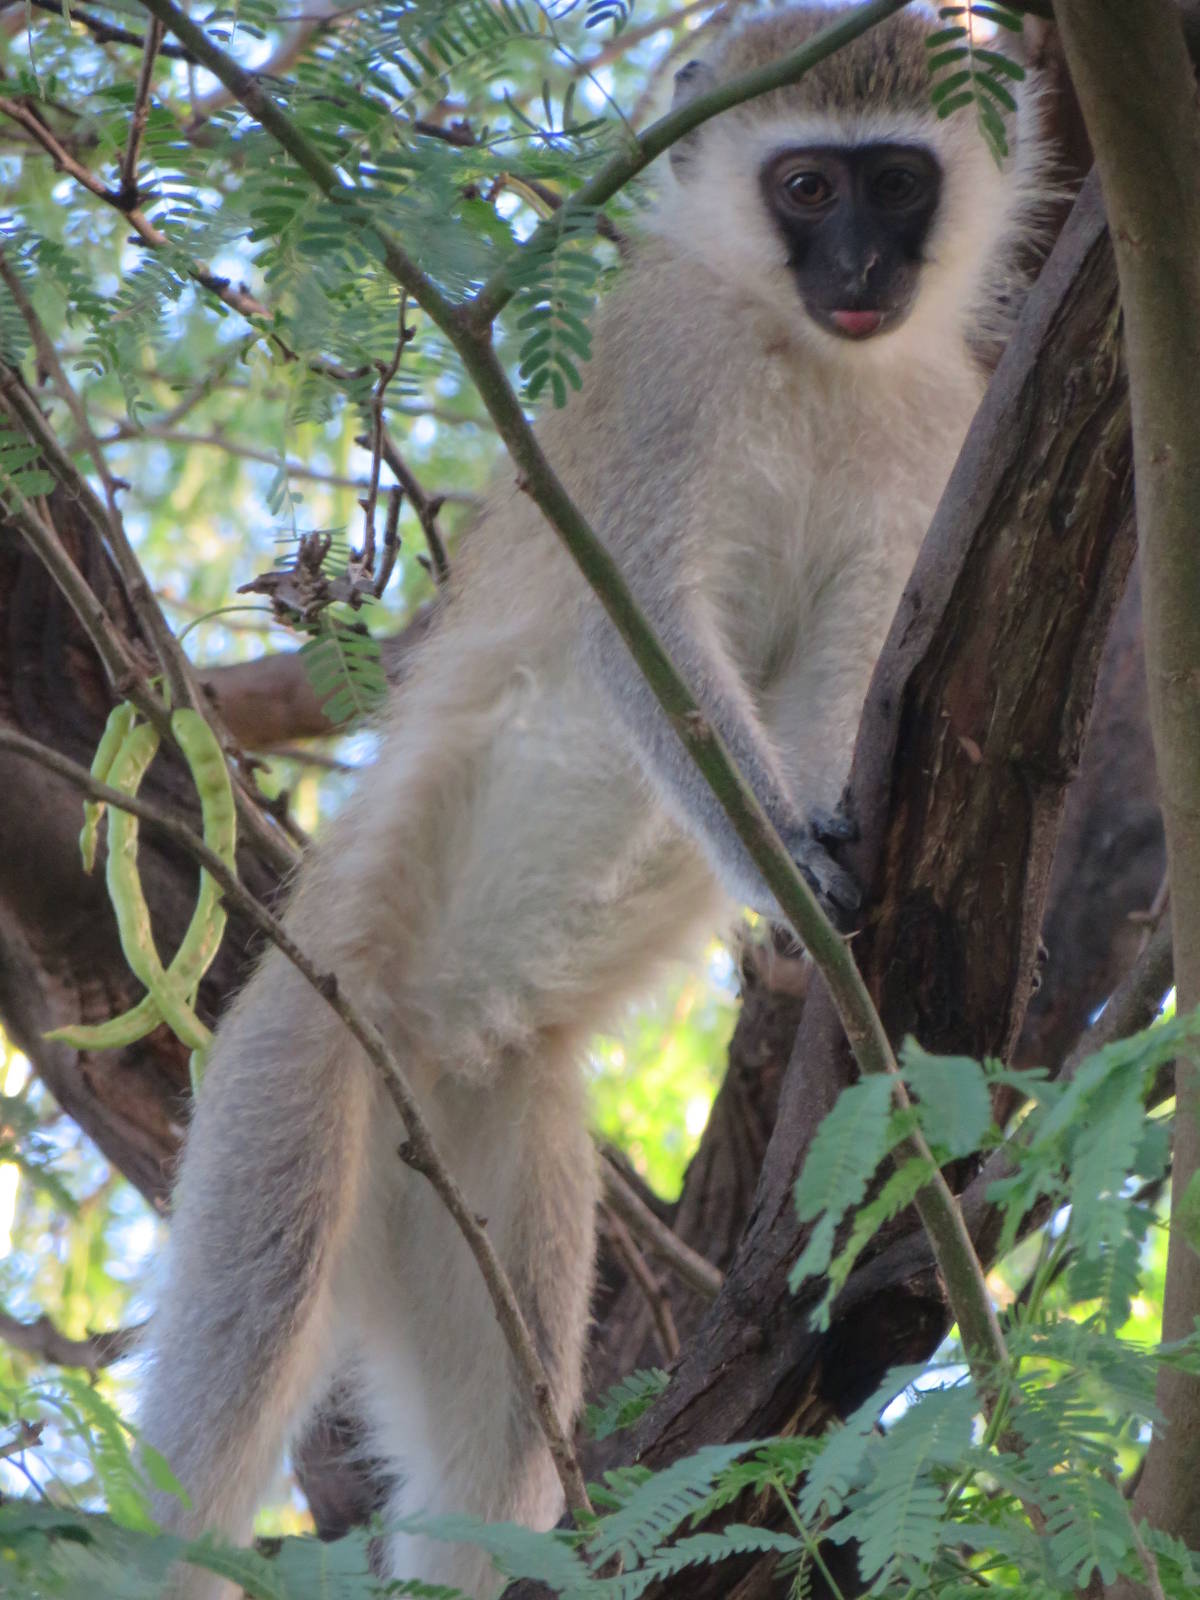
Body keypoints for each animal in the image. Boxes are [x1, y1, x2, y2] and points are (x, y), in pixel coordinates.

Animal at [137, 8, 1046, 1597]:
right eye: (806, 188)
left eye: (896, 184)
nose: (861, 274)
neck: (800, 352)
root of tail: (425, 1045)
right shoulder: (666, 370)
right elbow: (645, 644)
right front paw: (790, 872)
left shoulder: (930, 428)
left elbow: (844, 675)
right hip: (300, 1063)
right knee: (244, 1342)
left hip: (485, 1170)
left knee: (493, 1459)